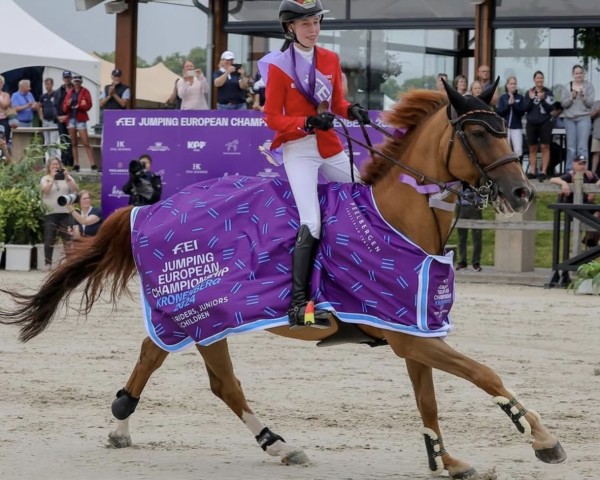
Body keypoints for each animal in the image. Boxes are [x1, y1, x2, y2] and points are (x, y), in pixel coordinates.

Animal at [1, 81, 564, 476]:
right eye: (477, 132)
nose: (521, 194)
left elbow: (428, 397)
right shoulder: (411, 336)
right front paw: (543, 440)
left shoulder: (412, 332)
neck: (399, 216)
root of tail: (152, 206)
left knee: (194, 372)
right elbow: (484, 373)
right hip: (200, 313)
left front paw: (445, 461)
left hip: (204, 317)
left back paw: (259, 441)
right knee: (191, 370)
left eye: (504, 126)